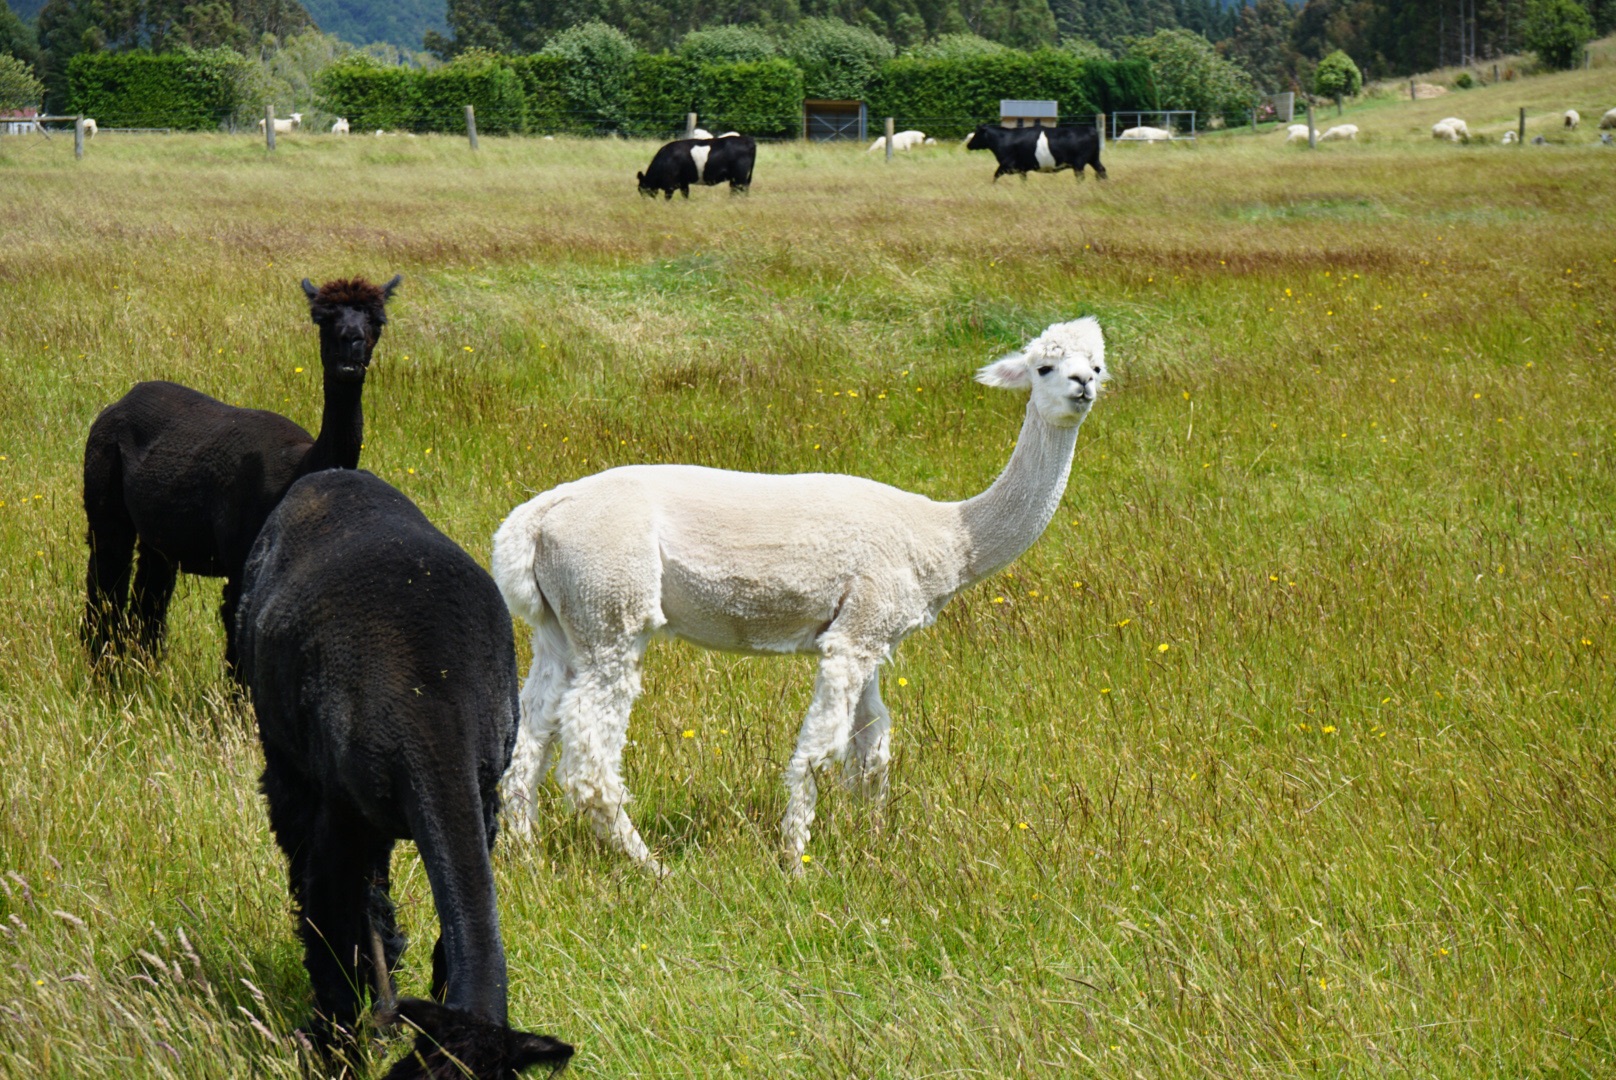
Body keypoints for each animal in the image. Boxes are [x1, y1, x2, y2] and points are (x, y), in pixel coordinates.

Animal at [491, 316, 1111, 873]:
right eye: (1044, 366)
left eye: (1099, 365)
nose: (1082, 385)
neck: (946, 537)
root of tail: (534, 517)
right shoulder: (853, 638)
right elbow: (820, 748)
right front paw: (795, 859)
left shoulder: (872, 634)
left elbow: (873, 748)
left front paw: (874, 843)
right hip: (611, 603)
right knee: (588, 757)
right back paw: (649, 866)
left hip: (562, 626)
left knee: (529, 739)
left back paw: (527, 856)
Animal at [963, 123, 1105, 182]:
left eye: (976, 134)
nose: (968, 145)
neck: (1003, 139)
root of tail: (1090, 129)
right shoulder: (1022, 169)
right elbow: (1023, 181)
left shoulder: (1007, 165)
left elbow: (995, 175)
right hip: (1094, 159)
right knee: (1102, 170)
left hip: (1079, 163)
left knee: (1081, 177)